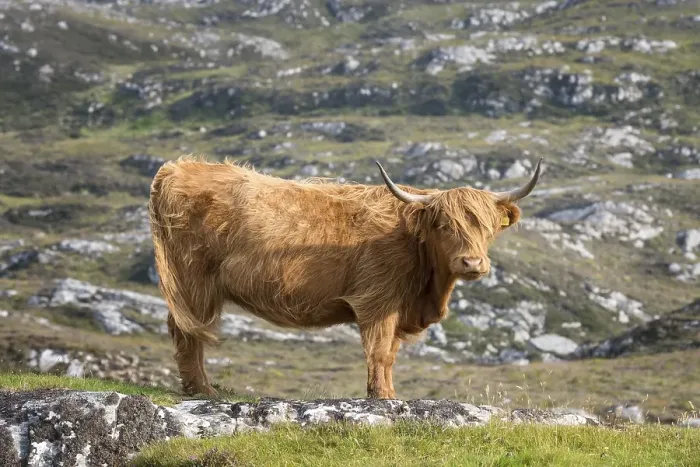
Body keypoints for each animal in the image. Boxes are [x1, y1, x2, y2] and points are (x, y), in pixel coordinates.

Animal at [148, 155, 542, 399]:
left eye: (487, 227)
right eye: (445, 225)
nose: (472, 263)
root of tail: (175, 168)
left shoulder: (396, 308)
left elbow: (391, 354)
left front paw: (389, 394)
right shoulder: (377, 301)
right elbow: (380, 352)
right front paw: (382, 398)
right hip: (192, 283)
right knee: (187, 331)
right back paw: (202, 390)